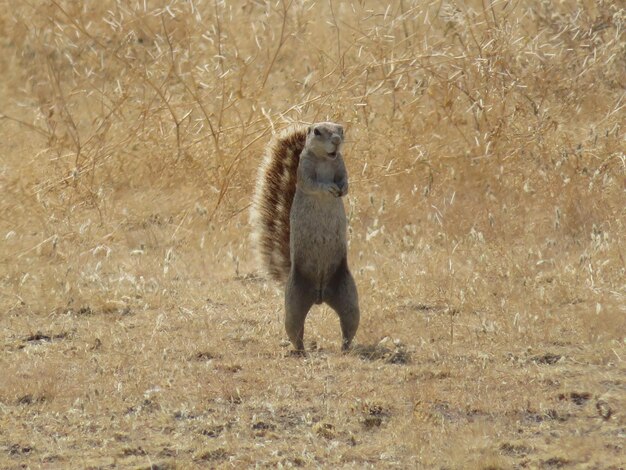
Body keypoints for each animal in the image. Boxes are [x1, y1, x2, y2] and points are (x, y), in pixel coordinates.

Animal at [247, 121, 356, 352]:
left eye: (341, 129)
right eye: (317, 131)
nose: (336, 140)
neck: (325, 159)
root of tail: (320, 295)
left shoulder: (341, 166)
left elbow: (345, 179)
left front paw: (343, 188)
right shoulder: (304, 172)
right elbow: (313, 184)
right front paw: (329, 187)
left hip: (349, 298)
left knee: (348, 326)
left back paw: (345, 348)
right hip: (294, 303)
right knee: (295, 330)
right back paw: (300, 351)